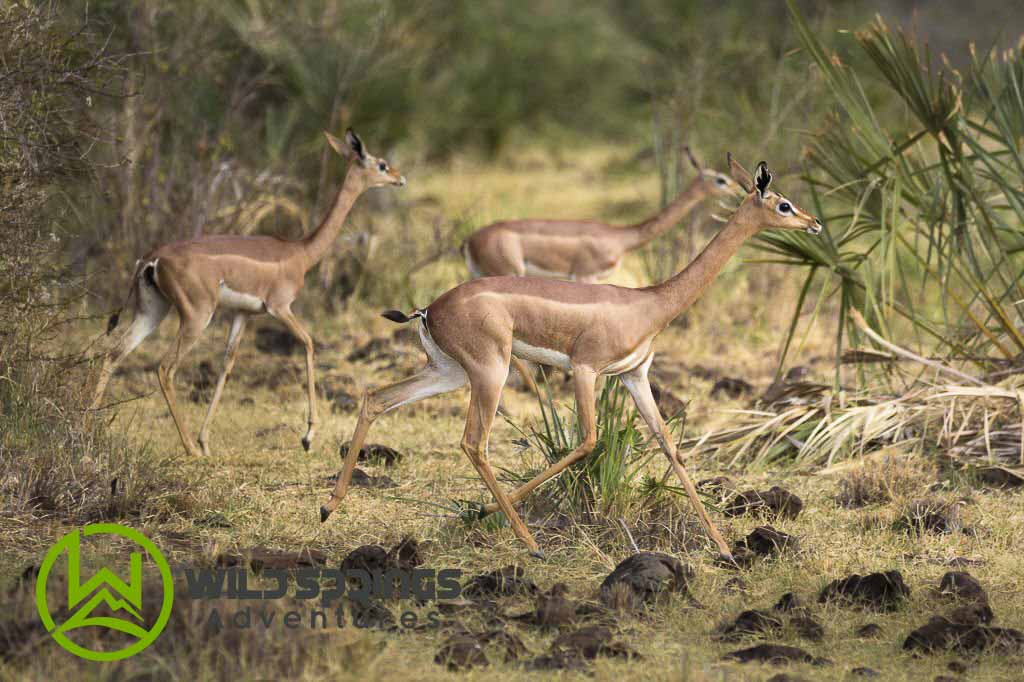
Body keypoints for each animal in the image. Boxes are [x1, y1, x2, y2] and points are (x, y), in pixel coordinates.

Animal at [90, 129, 403, 456]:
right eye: (381, 164)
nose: (399, 178)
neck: (301, 253)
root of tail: (152, 259)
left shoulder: (243, 314)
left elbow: (227, 362)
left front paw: (206, 440)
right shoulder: (280, 308)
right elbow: (308, 343)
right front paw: (308, 436)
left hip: (152, 311)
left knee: (113, 354)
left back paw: (91, 427)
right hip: (196, 316)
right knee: (164, 367)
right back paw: (189, 449)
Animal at [323, 157, 819, 557]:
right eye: (783, 204)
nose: (814, 223)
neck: (650, 302)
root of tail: (428, 308)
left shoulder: (635, 376)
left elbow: (670, 447)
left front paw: (724, 547)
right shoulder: (586, 370)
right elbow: (586, 441)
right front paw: (480, 514)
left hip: (448, 373)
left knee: (377, 399)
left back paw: (330, 507)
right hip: (490, 372)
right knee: (474, 442)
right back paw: (527, 541)